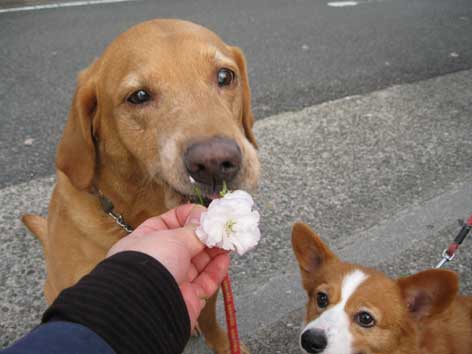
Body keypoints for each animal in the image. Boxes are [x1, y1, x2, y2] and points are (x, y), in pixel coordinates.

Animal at [23, 19, 258, 354]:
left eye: (225, 76)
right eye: (139, 96)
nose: (215, 162)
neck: (142, 211)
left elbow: (211, 318)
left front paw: (226, 345)